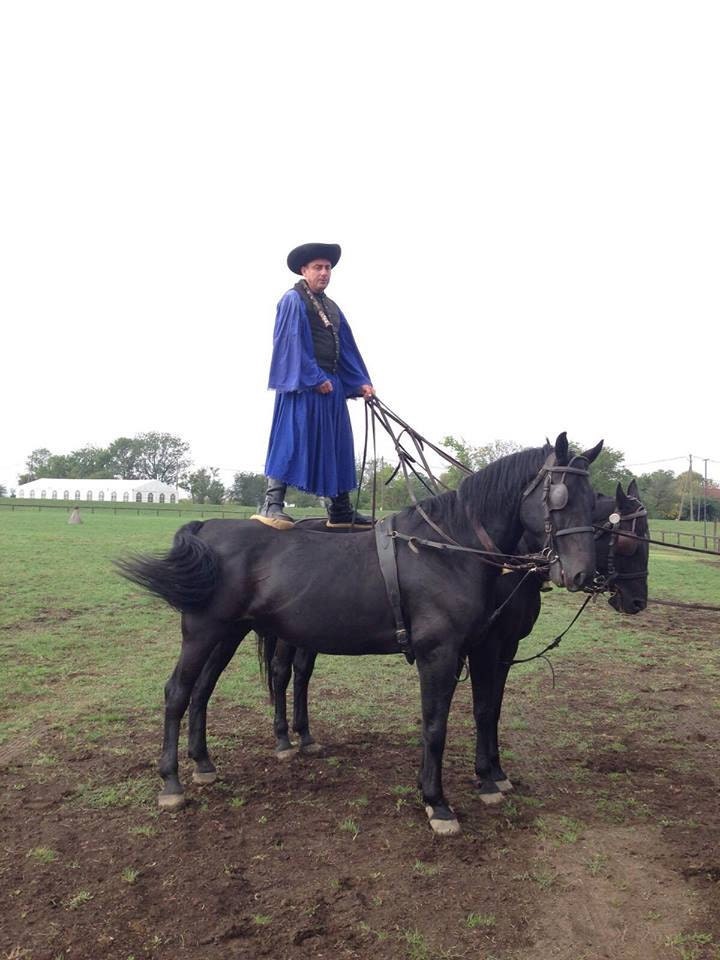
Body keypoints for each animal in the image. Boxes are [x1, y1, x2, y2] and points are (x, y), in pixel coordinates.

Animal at [118, 434, 600, 832]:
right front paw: (437, 802)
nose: (581, 573)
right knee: (178, 692)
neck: (448, 551)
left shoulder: (483, 648)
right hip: (203, 632)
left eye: (594, 498)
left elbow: (486, 711)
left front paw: (488, 780)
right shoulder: (441, 655)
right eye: (559, 496)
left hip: (230, 633)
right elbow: (436, 726)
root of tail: (208, 527)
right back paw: (172, 782)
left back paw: (204, 763)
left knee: (203, 690)